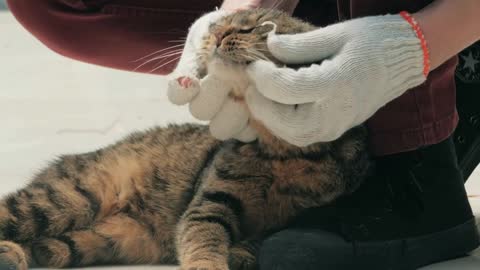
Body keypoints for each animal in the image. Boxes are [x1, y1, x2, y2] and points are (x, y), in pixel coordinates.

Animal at [0, 8, 372, 270]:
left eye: (258, 27)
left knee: (48, 246)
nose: (216, 32)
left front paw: (239, 254)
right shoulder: (210, 202)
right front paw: (212, 263)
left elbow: (257, 243)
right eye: (220, 24)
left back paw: (12, 255)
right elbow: (202, 240)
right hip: (67, 198)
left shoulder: (308, 214)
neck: (282, 150)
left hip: (93, 237)